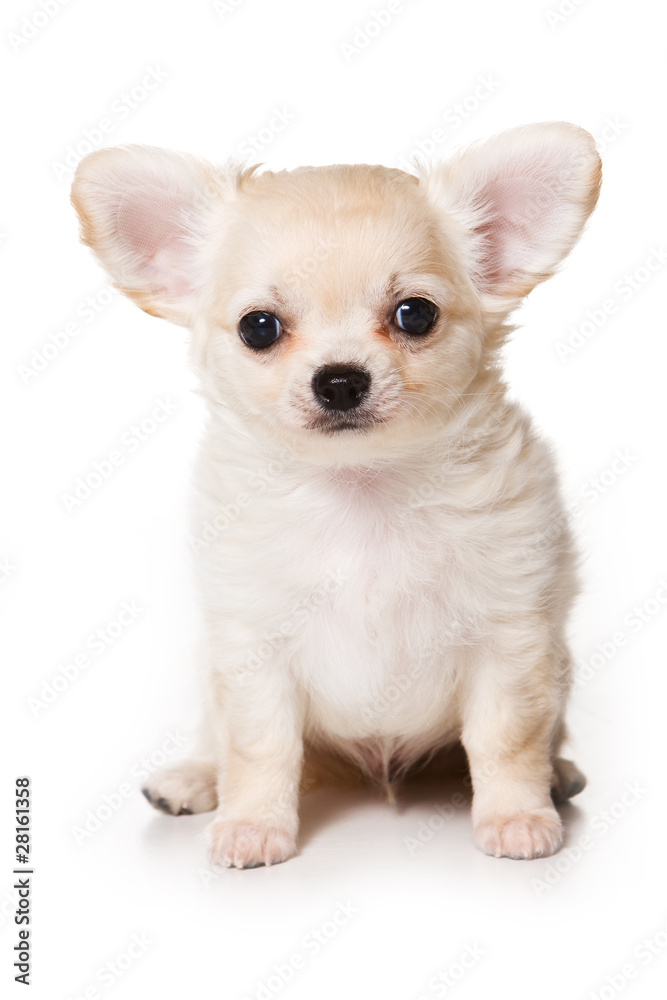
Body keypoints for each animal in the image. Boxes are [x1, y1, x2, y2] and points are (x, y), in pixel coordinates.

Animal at [72, 123, 600, 868]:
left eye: (415, 316)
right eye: (259, 327)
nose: (340, 379)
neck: (362, 492)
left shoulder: (511, 638)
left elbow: (507, 739)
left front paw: (517, 817)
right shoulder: (253, 648)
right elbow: (258, 746)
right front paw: (253, 825)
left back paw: (557, 777)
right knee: (219, 740)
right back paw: (194, 779)